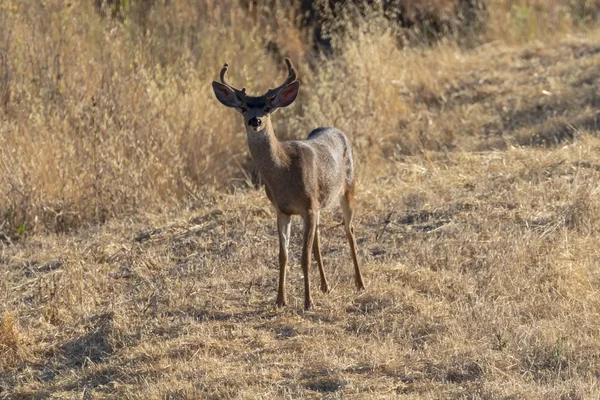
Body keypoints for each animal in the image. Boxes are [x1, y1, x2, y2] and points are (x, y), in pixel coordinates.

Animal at [212, 58, 366, 310]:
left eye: (267, 108)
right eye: (243, 107)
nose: (255, 121)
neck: (284, 173)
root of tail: (337, 130)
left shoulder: (308, 207)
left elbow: (303, 257)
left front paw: (308, 302)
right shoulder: (282, 210)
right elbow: (283, 255)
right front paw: (280, 300)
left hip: (348, 188)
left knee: (349, 231)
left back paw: (360, 283)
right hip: (319, 205)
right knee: (318, 241)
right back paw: (325, 286)